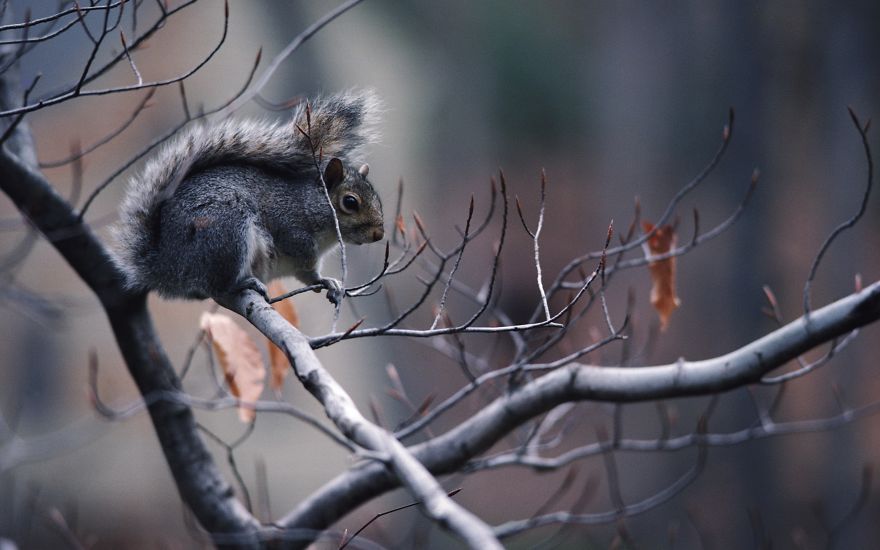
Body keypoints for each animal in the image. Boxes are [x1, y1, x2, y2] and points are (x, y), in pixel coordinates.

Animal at [112, 90, 384, 305]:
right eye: (350, 202)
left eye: (378, 199)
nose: (379, 234)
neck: (310, 206)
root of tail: (166, 265)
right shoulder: (293, 233)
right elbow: (306, 270)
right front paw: (324, 279)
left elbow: (307, 276)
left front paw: (329, 283)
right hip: (226, 231)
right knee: (217, 285)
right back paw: (242, 284)